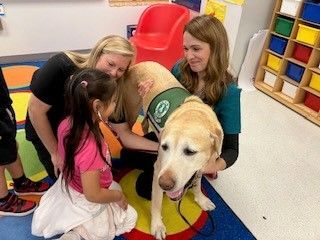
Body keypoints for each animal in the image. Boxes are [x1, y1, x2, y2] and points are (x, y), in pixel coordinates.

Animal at [124, 61, 224, 240]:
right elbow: (156, 202)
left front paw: (201, 199)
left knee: (144, 123)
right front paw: (157, 225)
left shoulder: (201, 166)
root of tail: (141, 63)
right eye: (165, 147)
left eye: (190, 151)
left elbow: (198, 183)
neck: (192, 114)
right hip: (132, 110)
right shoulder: (158, 170)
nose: (165, 184)